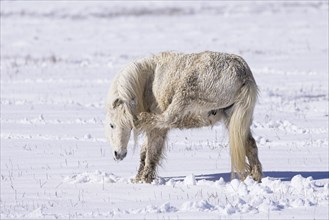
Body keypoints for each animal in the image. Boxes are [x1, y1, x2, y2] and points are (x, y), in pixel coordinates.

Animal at [104, 51, 262, 182]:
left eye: (112, 125)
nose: (119, 154)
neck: (148, 81)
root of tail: (243, 73)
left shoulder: (158, 130)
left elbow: (152, 152)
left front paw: (145, 179)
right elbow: (145, 152)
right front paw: (138, 178)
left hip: (184, 95)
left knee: (167, 118)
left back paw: (142, 118)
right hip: (233, 117)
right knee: (250, 144)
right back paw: (256, 175)